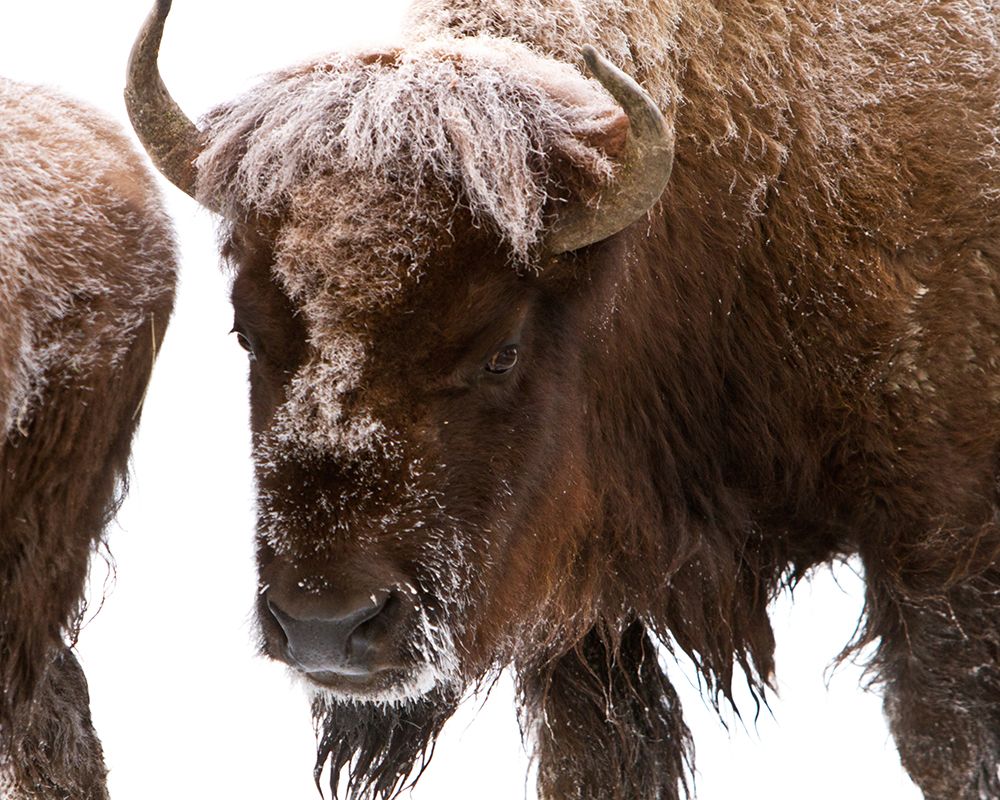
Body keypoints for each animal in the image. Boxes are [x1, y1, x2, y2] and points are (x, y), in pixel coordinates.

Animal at [128, 0, 999, 798]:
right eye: (246, 334)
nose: (325, 627)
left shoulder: (937, 551)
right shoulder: (584, 616)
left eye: (501, 351)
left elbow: (944, 741)